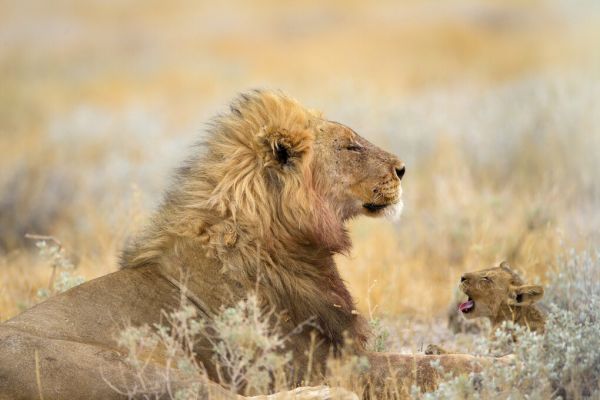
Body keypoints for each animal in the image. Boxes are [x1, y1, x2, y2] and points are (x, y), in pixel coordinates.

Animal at [0, 91, 496, 400]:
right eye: (350, 147)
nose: (402, 169)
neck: (288, 242)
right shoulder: (317, 361)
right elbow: (420, 368)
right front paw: (497, 362)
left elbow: (430, 359)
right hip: (144, 369)